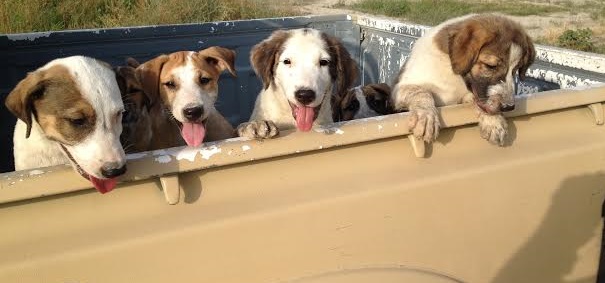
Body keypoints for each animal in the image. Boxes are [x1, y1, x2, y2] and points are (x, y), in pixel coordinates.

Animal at [390, 13, 532, 146]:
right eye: (490, 66)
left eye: (515, 70)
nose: (509, 107)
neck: (452, 74)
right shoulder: (400, 88)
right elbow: (421, 92)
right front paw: (426, 117)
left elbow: (480, 102)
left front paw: (494, 121)